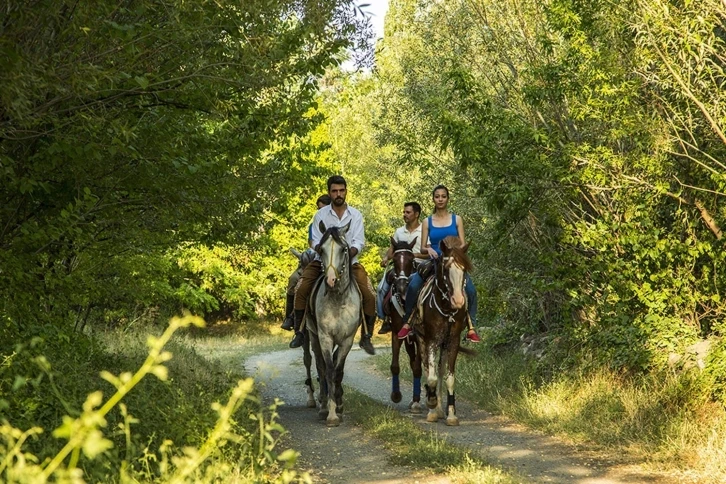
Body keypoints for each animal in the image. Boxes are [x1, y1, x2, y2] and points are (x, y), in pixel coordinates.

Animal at [306, 221, 362, 426]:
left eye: (343, 249)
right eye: (320, 249)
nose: (330, 280)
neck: (338, 299)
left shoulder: (347, 340)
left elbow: (338, 371)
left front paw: (339, 407)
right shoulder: (325, 338)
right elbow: (329, 370)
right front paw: (330, 414)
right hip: (313, 336)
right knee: (320, 367)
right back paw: (323, 406)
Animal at [412, 236, 474, 426]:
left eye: (464, 270)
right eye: (446, 269)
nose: (458, 301)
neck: (447, 309)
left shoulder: (452, 342)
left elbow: (449, 378)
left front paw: (451, 415)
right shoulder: (431, 340)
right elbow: (431, 377)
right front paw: (432, 406)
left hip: (444, 345)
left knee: (439, 370)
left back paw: (440, 409)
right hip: (421, 339)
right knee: (427, 369)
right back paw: (433, 407)